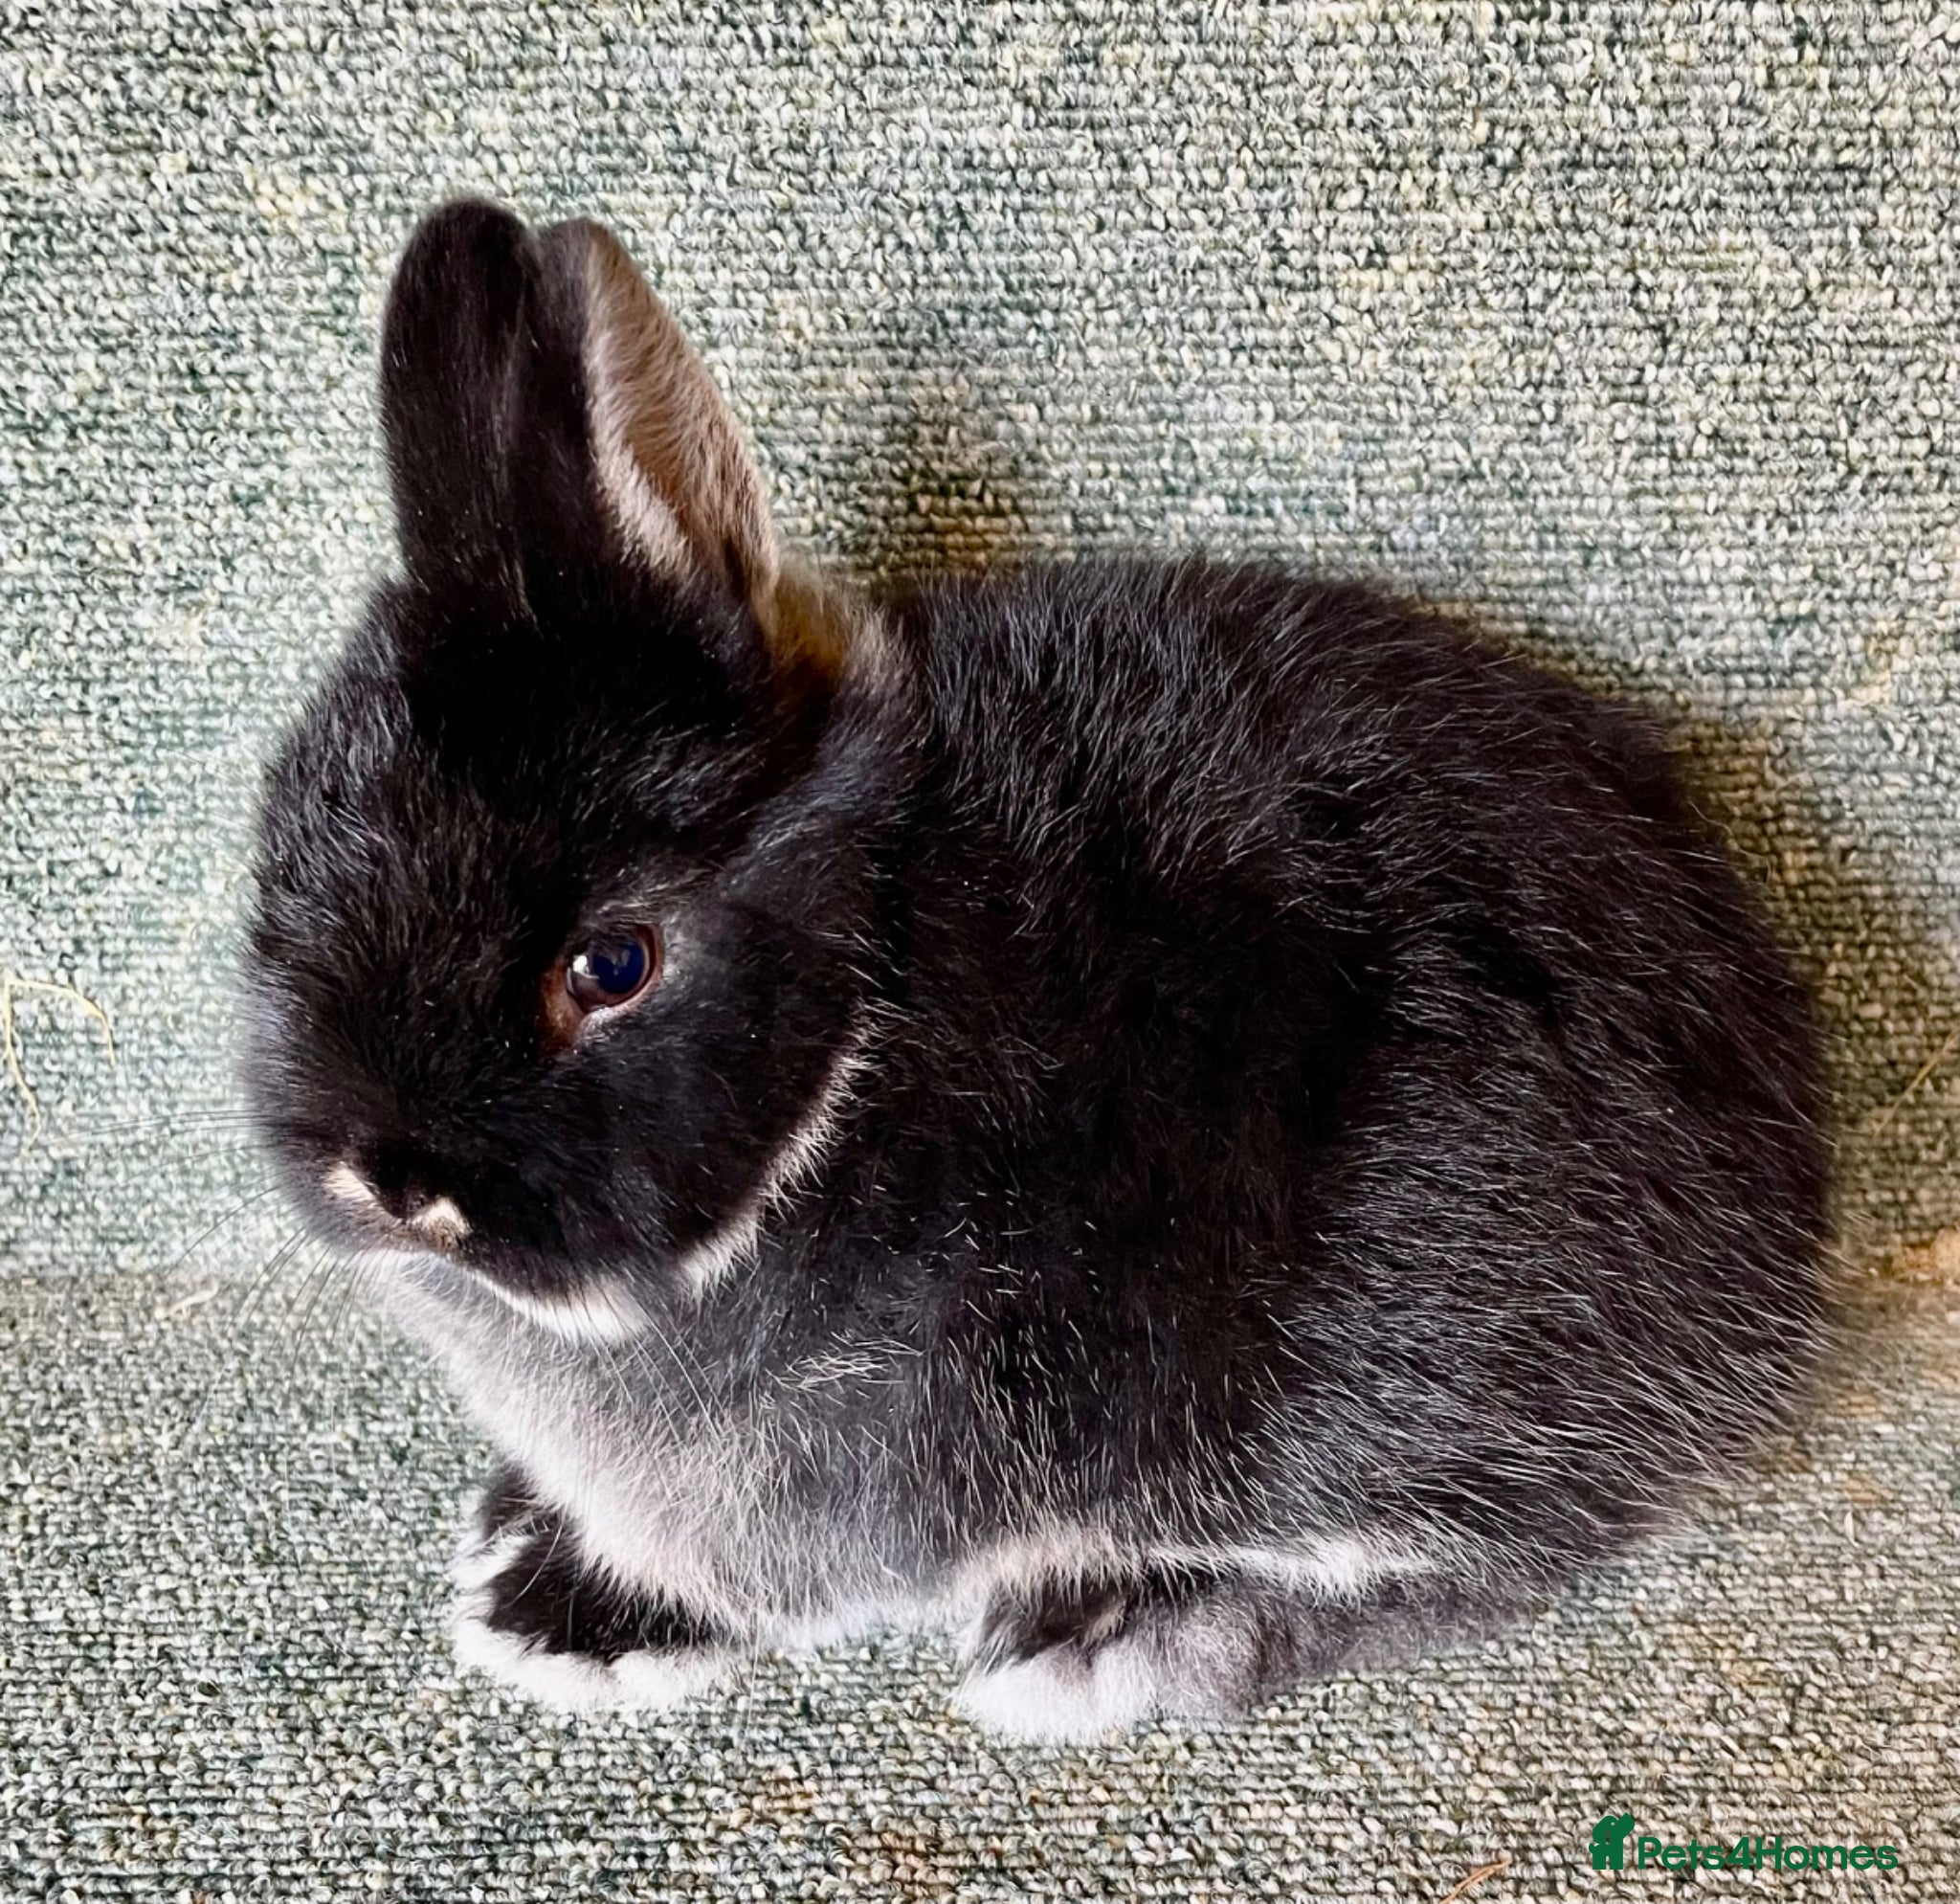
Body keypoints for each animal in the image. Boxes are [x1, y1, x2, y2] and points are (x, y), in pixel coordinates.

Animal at [244, 198, 1831, 1742]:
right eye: (279, 862)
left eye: (613, 961)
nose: (390, 1182)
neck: (861, 1038)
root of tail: (1793, 1178)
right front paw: (523, 1560)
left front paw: (568, 1619)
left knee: (1493, 1544)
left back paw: (1105, 1637)